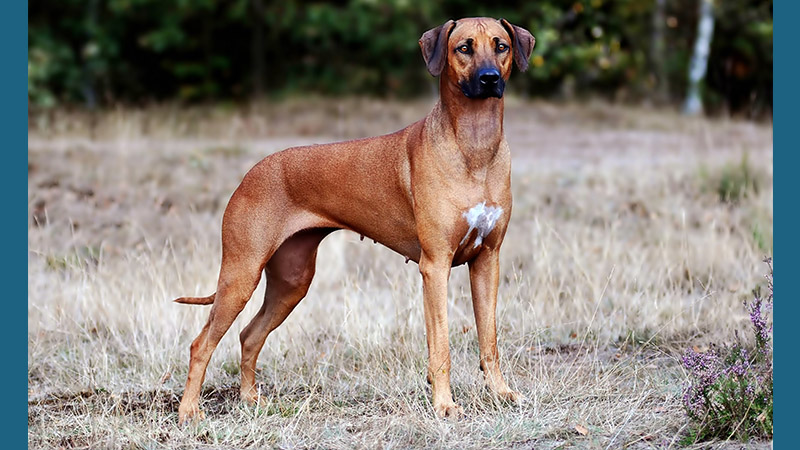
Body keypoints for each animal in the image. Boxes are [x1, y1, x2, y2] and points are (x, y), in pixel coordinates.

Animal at [176, 14, 536, 422]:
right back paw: (189, 412)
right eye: (464, 48)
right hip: (241, 273)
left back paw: (251, 400)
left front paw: (501, 393)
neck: (474, 145)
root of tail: (251, 173)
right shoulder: (435, 266)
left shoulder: (487, 261)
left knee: (249, 335)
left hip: (292, 281)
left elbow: (489, 340)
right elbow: (440, 345)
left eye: (500, 46)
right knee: (201, 343)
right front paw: (444, 404)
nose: (490, 78)